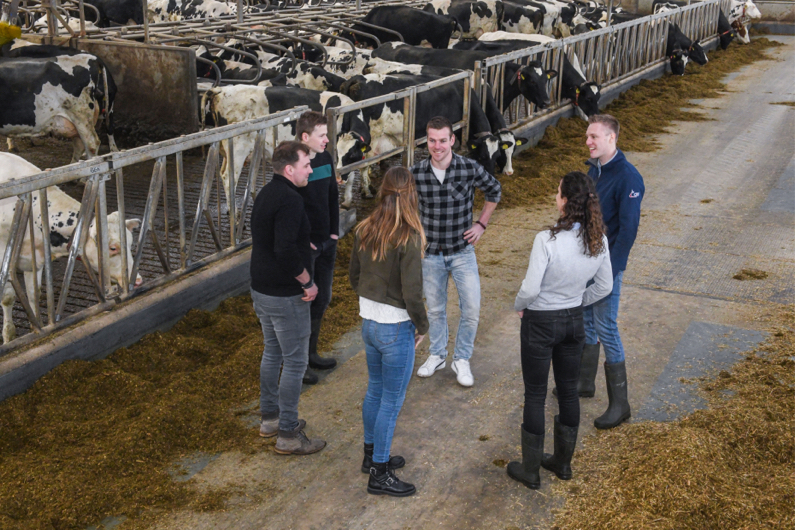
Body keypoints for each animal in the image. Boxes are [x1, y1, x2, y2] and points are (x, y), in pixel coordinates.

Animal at [0, 152, 143, 342]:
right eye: (113, 248)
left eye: (130, 242)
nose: (138, 280)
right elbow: (8, 297)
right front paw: (9, 336)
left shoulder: (34, 261)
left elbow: (33, 293)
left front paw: (36, 327)